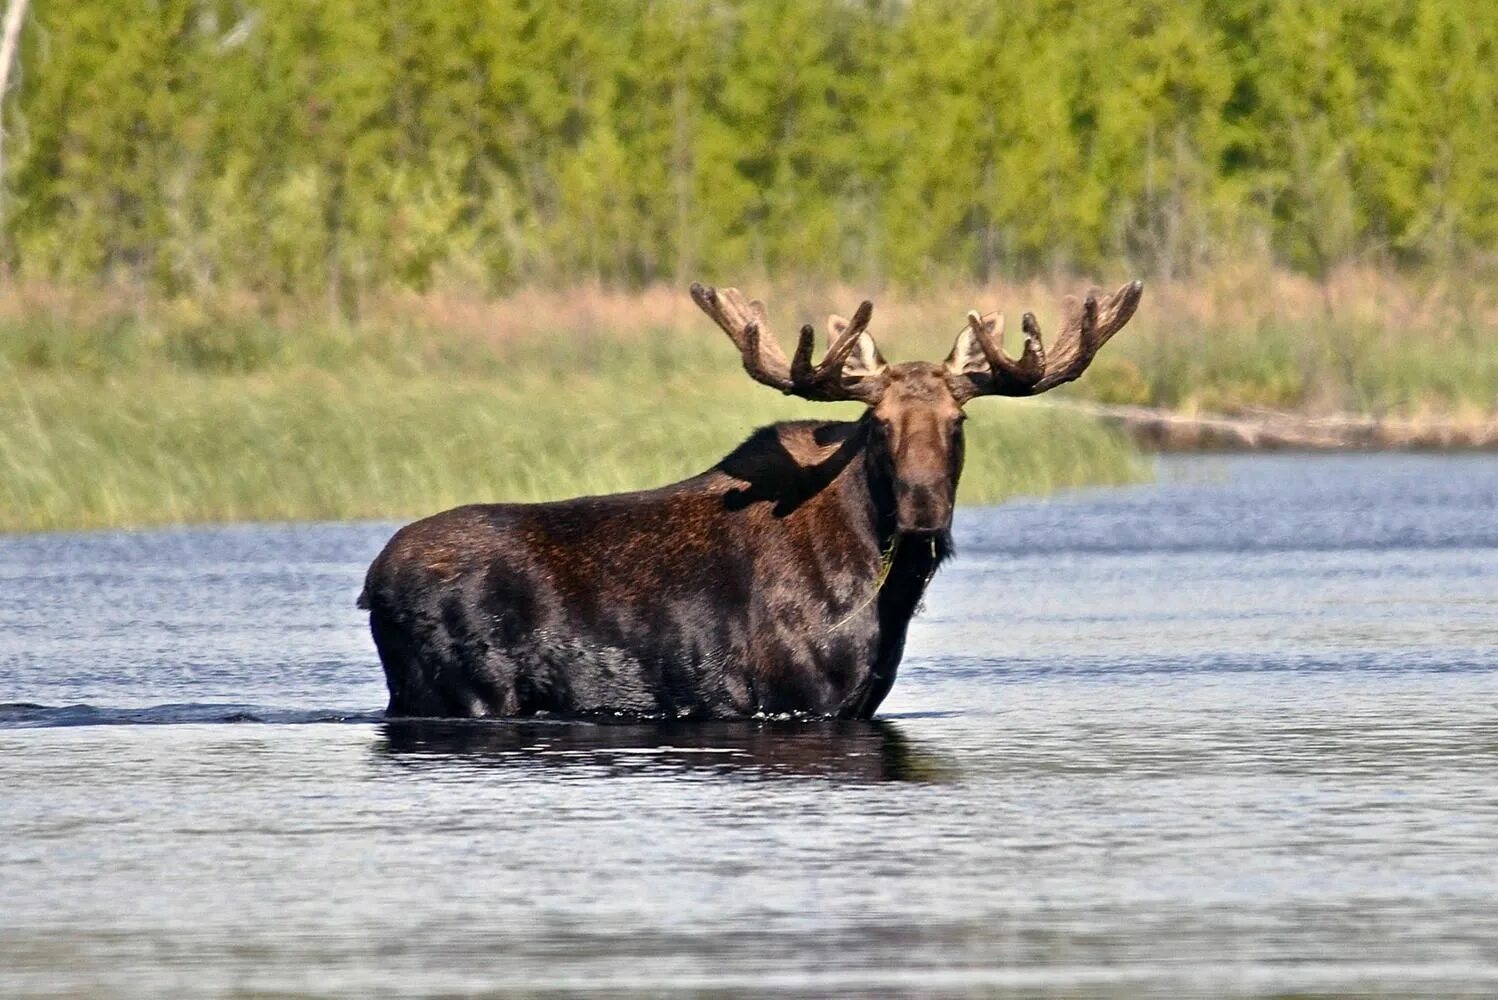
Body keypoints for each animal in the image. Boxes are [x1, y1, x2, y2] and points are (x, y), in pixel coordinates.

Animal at [356, 281, 1138, 718]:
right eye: (878, 425)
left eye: (958, 423)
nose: (923, 514)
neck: (881, 590)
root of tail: (371, 585)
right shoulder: (795, 699)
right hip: (460, 692)